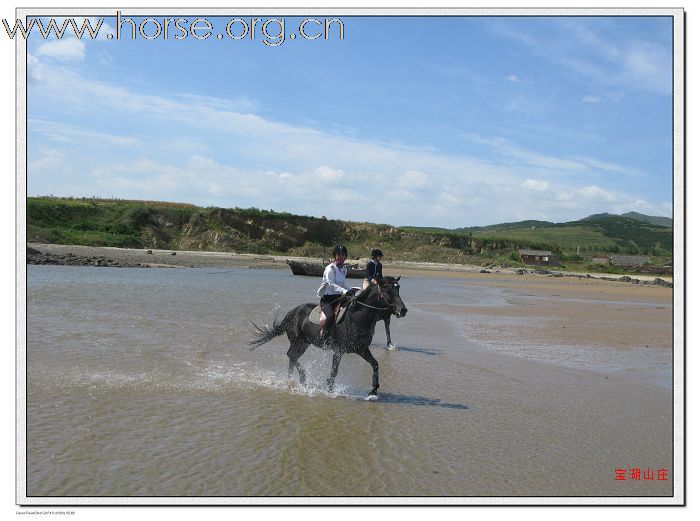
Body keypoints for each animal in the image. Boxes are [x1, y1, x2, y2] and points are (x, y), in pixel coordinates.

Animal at [250, 280, 408, 398]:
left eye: (398, 290)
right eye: (387, 291)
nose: (403, 310)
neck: (357, 317)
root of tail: (291, 313)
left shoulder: (362, 349)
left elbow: (375, 365)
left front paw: (373, 391)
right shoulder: (338, 351)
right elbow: (334, 372)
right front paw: (330, 390)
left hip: (304, 344)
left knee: (292, 357)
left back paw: (292, 381)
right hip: (298, 342)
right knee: (291, 356)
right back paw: (301, 379)